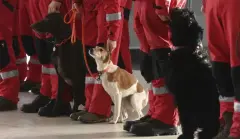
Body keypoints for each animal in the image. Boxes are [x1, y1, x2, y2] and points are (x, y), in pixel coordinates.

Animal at [165, 7, 219, 139]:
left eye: (183, 13)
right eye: (187, 12)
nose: (174, 7)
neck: (188, 47)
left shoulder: (182, 98)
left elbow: (186, 122)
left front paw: (185, 135)